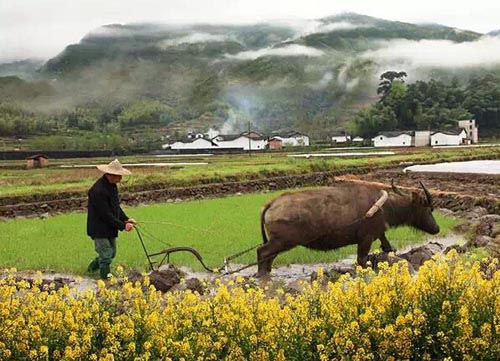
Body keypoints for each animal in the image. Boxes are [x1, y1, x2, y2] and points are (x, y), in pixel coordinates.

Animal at [256, 180, 440, 276]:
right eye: (428, 208)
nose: (437, 229)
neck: (384, 206)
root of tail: (271, 203)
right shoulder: (365, 239)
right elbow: (361, 260)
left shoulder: (379, 234)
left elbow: (388, 247)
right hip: (282, 242)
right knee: (262, 253)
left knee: (267, 258)